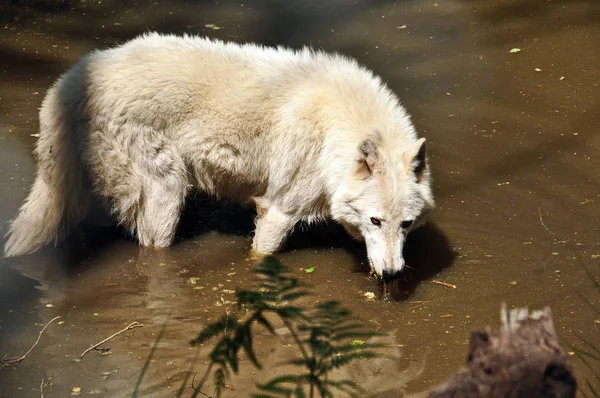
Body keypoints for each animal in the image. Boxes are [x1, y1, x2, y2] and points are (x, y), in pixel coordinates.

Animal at [5, 32, 436, 278]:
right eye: (376, 220)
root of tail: (67, 83)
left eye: (406, 225)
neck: (334, 125)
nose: (394, 275)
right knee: (152, 246)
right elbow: (261, 255)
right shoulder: (278, 210)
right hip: (167, 190)